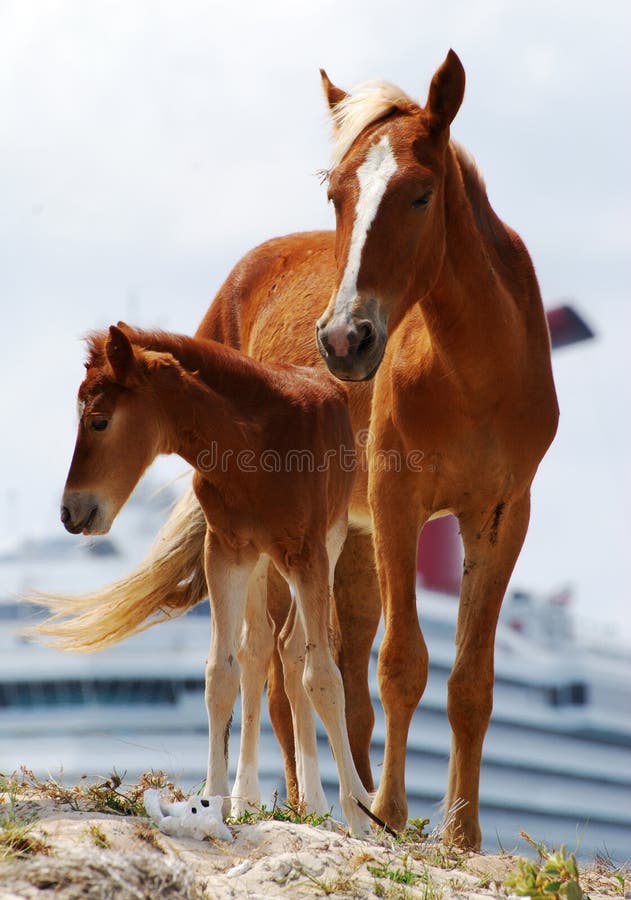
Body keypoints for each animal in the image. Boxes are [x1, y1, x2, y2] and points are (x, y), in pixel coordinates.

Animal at [49, 326, 372, 836]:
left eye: (98, 422)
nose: (69, 512)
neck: (255, 448)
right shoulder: (224, 552)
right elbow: (221, 672)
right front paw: (212, 803)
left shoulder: (309, 553)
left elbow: (323, 676)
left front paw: (361, 817)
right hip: (260, 562)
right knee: (264, 645)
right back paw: (254, 798)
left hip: (329, 542)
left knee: (294, 649)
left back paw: (318, 803)